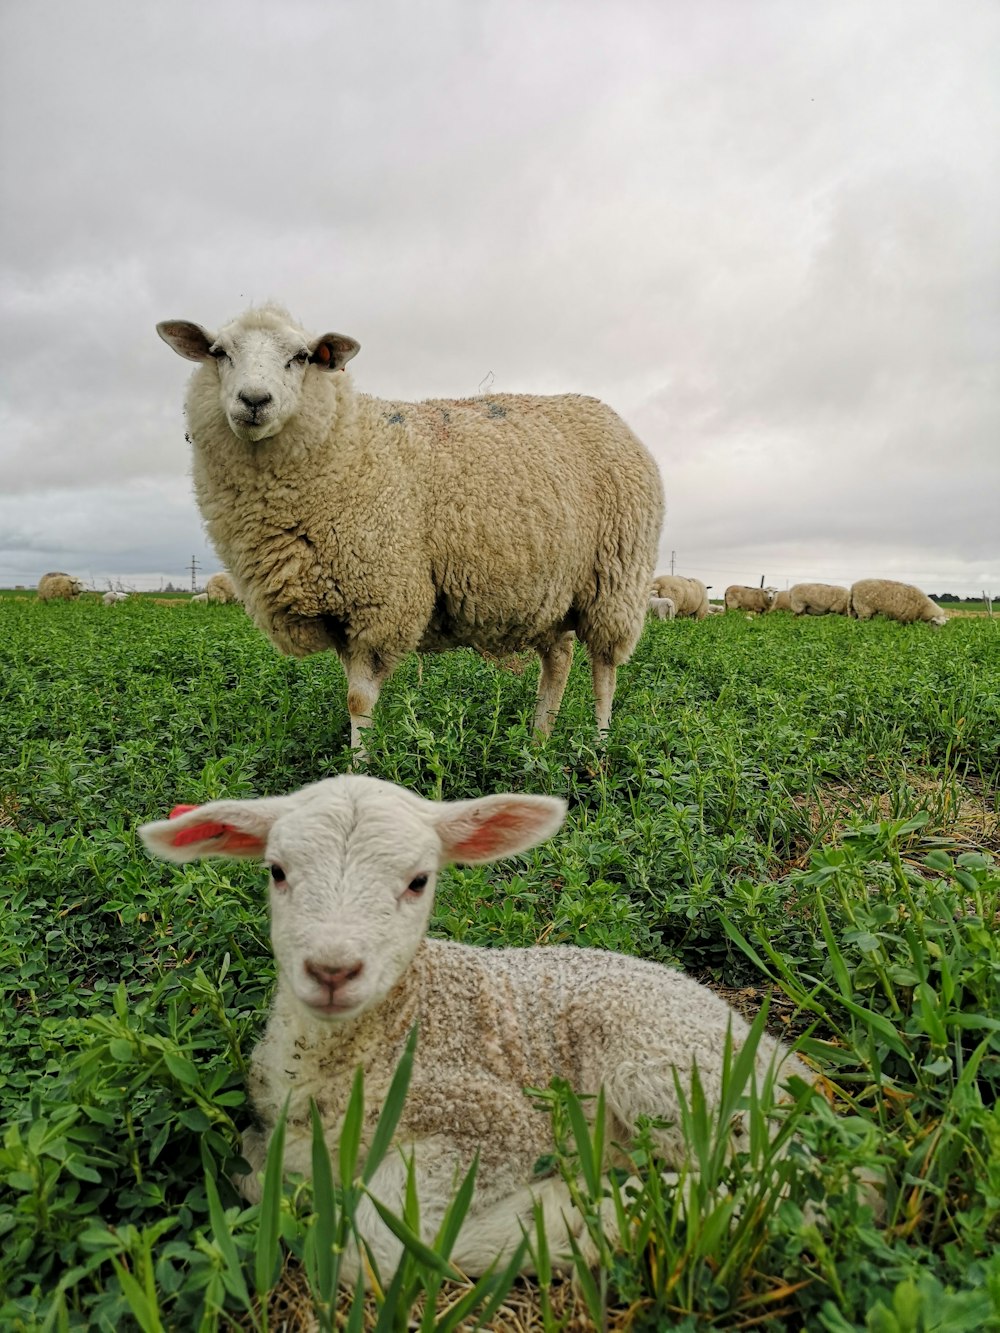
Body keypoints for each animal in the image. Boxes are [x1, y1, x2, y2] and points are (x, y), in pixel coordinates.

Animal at [141, 773, 816, 1279]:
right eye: (276, 871)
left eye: (419, 881)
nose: (332, 969)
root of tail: (780, 1057)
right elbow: (258, 1170)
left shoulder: (494, 1121)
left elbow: (376, 1239)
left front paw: (538, 1218)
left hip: (665, 1071)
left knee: (771, 1179)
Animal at [158, 305, 666, 751]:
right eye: (219, 352)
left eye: (301, 357)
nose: (254, 401)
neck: (349, 444)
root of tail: (610, 416)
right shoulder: (343, 608)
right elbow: (351, 696)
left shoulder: (380, 599)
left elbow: (357, 700)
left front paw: (359, 771)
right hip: (552, 592)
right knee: (558, 661)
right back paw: (538, 743)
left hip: (615, 580)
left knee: (604, 669)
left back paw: (598, 749)